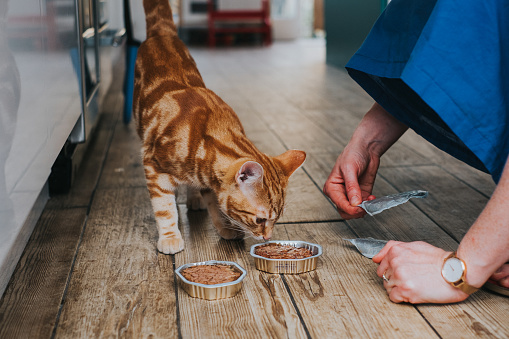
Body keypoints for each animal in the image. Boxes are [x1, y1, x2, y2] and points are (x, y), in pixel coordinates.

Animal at [133, 0, 304, 255]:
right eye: (260, 220)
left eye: (277, 219)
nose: (267, 238)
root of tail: (161, 33)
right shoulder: (153, 166)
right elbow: (165, 209)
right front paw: (170, 237)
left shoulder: (209, 180)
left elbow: (216, 205)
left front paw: (224, 227)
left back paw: (194, 198)